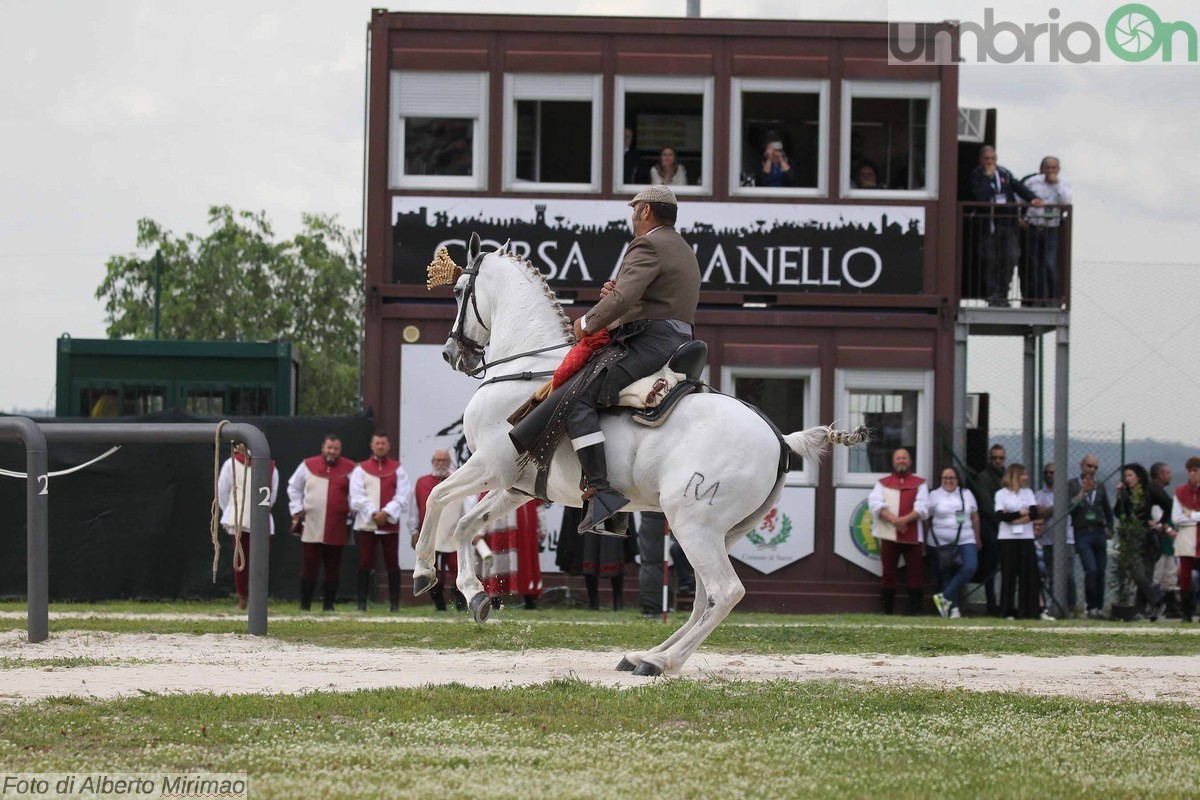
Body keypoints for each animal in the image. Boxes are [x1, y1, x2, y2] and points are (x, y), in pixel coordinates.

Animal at [412, 235, 864, 681]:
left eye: (458, 291)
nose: (451, 354)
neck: (527, 369)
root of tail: (780, 439)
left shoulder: (490, 465)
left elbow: (437, 497)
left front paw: (423, 572)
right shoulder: (516, 486)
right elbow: (466, 525)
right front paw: (476, 596)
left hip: (692, 524)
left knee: (725, 592)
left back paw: (662, 661)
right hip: (716, 534)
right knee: (704, 599)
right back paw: (645, 655)